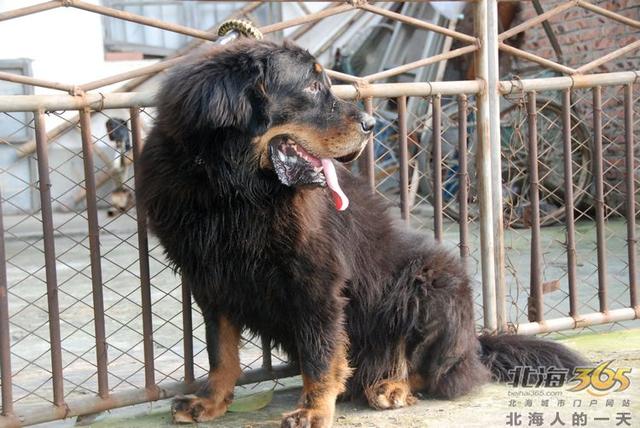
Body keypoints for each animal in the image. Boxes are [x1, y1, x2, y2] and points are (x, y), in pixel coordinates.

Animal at [139, 38, 584, 426]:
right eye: (312, 86)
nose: (370, 124)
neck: (233, 191)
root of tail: (475, 343)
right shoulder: (209, 279)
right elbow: (221, 351)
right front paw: (211, 401)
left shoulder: (316, 281)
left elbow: (320, 354)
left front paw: (314, 410)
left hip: (430, 281)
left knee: (439, 371)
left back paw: (393, 385)